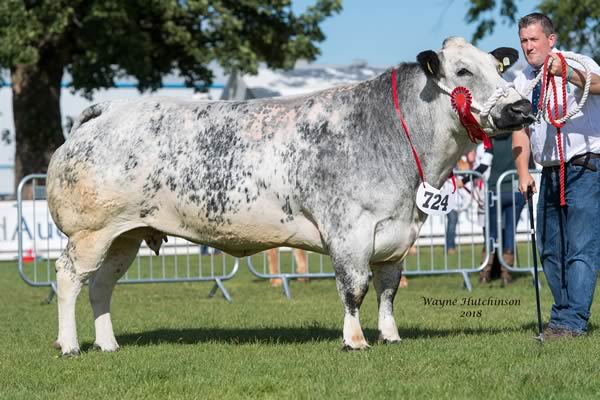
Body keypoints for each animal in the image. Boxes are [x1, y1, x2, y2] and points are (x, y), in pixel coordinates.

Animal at [48, 36, 536, 356]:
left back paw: (108, 344)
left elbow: (388, 290)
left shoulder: (396, 236)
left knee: (102, 285)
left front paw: (390, 336)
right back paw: (70, 345)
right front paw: (355, 341)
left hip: (125, 234)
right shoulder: (349, 231)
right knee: (69, 277)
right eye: (463, 71)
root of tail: (108, 109)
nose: (521, 108)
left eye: (499, 68)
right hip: (89, 232)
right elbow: (354, 288)